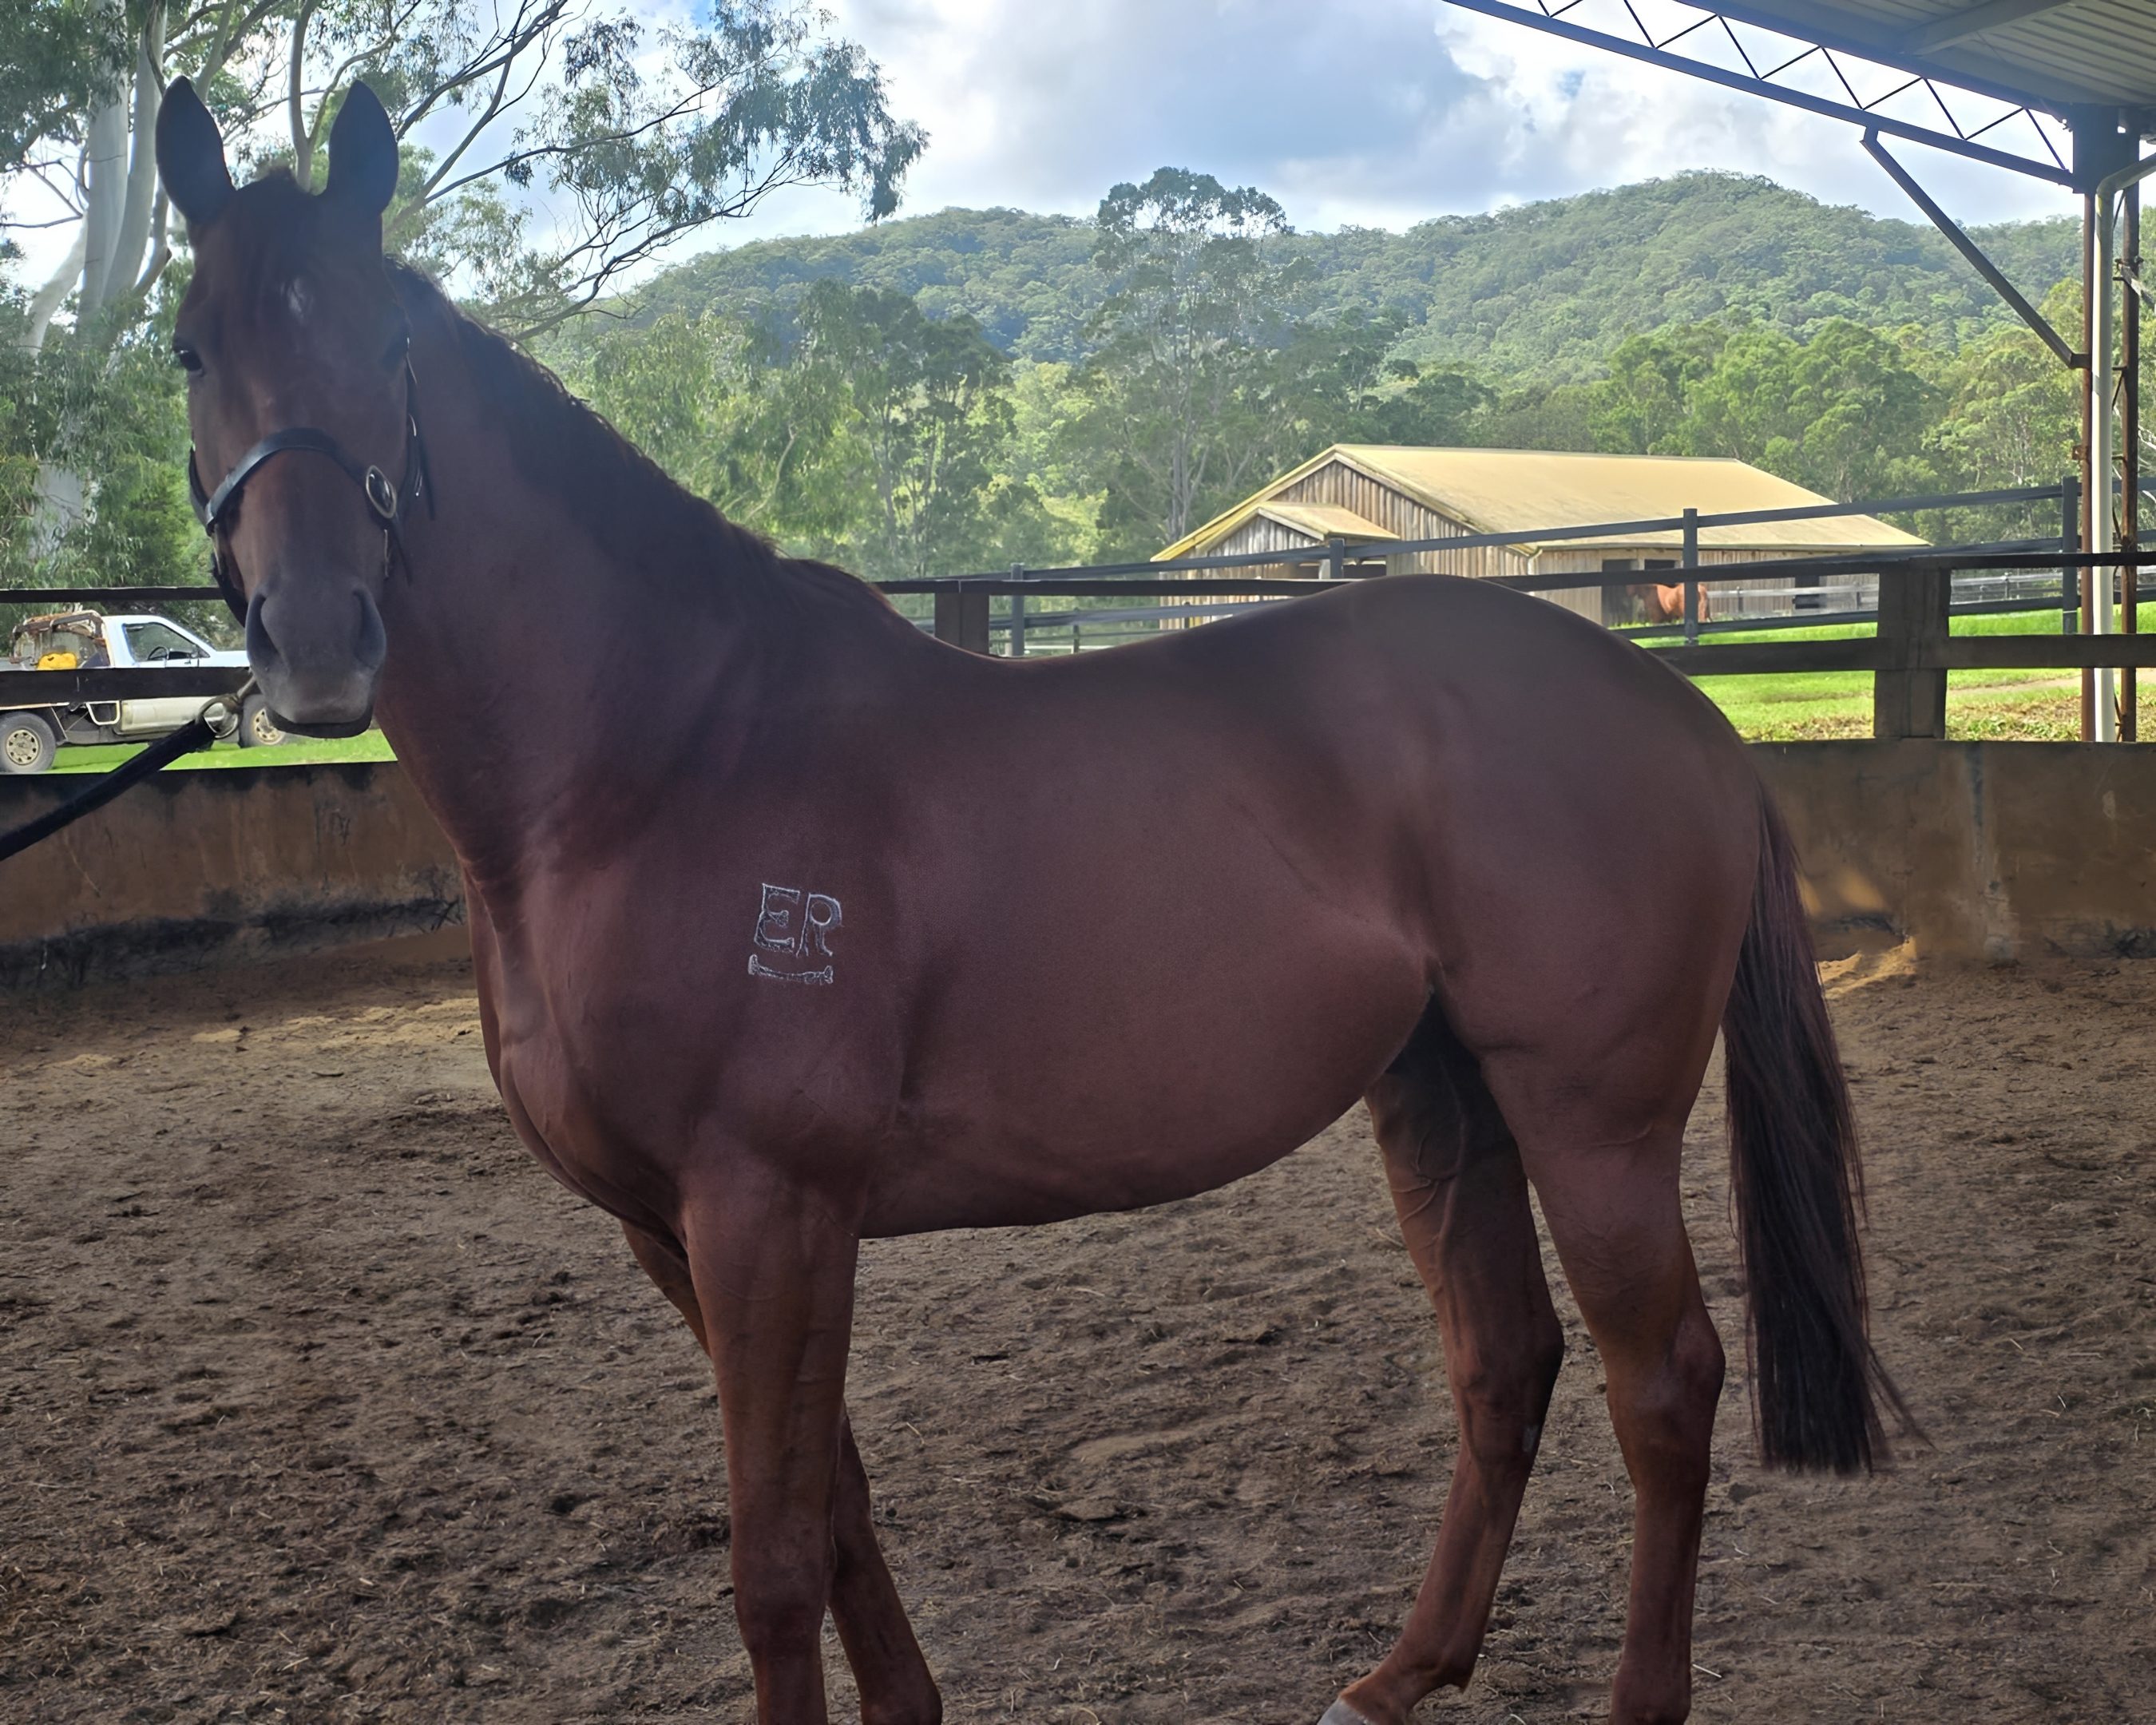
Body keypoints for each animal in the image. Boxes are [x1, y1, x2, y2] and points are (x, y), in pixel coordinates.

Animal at [155, 79, 1907, 1725]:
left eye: (388, 338)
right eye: (188, 347)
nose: (318, 639)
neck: (664, 750)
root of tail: (1683, 715)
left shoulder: (765, 1207)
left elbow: (774, 1559)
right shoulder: (688, 1235)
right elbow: (836, 1508)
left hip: (1591, 1119)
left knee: (1663, 1382)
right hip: (1442, 1096)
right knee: (1507, 1365)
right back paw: (1397, 1675)